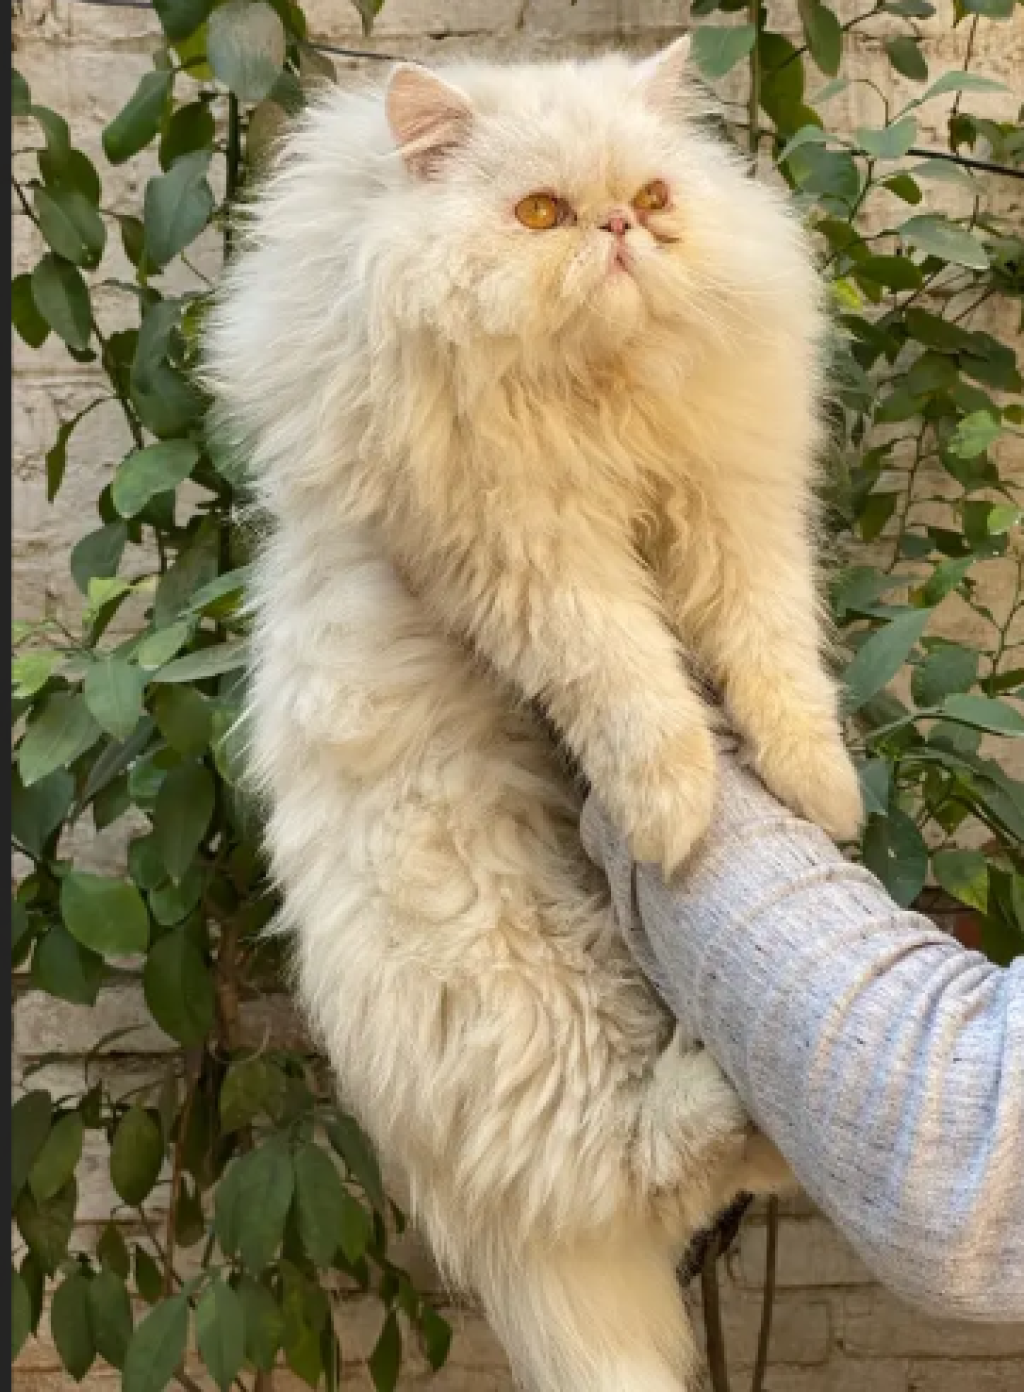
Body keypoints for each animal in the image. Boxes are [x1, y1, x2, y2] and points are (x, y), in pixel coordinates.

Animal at [205, 37, 861, 1391]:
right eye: (542, 216)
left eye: (655, 198)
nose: (619, 230)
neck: (597, 407)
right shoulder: (533, 559)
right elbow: (636, 691)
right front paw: (678, 820)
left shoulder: (732, 508)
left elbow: (774, 659)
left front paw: (818, 793)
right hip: (540, 992)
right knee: (636, 1167)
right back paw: (716, 1086)